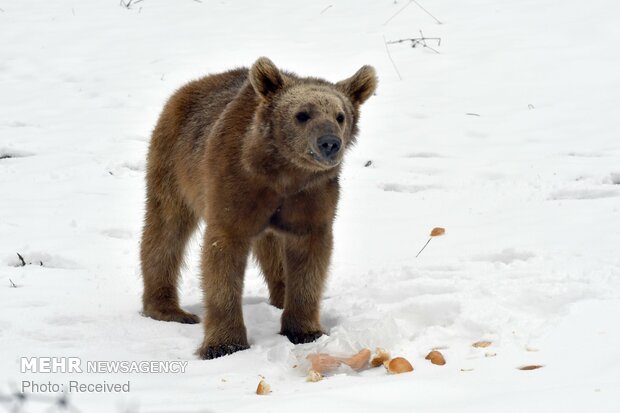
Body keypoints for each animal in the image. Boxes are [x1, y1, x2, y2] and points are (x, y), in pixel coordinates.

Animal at [140, 57, 378, 358]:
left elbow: (309, 257)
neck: (282, 173)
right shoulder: (233, 184)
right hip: (174, 164)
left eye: (340, 116)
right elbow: (223, 256)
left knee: (271, 247)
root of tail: (192, 85)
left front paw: (305, 330)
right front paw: (225, 344)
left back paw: (280, 296)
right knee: (166, 229)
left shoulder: (311, 197)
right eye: (302, 114)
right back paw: (168, 309)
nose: (329, 143)